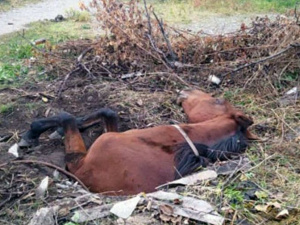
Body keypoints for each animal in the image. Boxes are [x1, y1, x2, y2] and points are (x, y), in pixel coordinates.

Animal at [20, 89, 255, 195]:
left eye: (217, 100)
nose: (185, 91)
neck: (185, 143)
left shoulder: (78, 162)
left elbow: (66, 117)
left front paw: (33, 132)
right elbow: (108, 112)